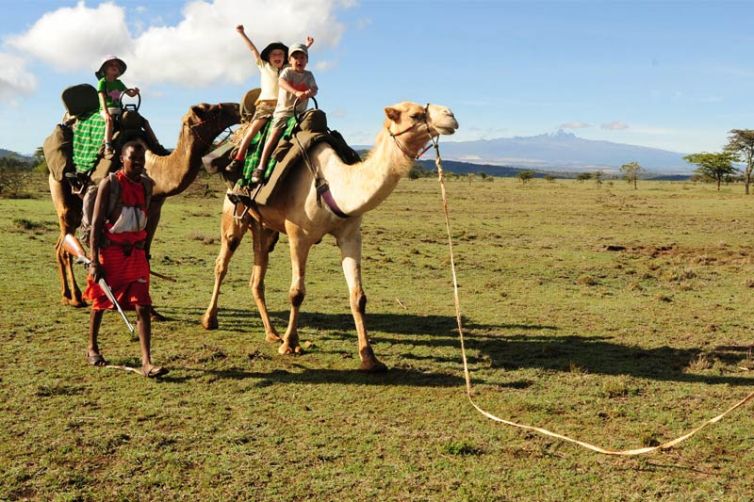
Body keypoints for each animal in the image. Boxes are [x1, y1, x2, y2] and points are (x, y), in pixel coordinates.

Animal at [50, 102, 240, 307]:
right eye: (212, 110)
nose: (237, 108)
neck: (153, 170)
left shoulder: (155, 210)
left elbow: (145, 253)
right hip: (62, 193)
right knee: (65, 247)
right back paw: (76, 297)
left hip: (76, 208)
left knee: (60, 245)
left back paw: (67, 295)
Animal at [201, 101, 459, 371]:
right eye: (415, 115)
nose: (450, 116)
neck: (334, 185)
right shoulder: (298, 235)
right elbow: (297, 293)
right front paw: (291, 345)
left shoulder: (350, 236)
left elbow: (358, 296)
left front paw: (369, 357)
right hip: (233, 212)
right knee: (222, 263)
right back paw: (210, 320)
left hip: (264, 227)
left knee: (257, 276)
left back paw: (272, 333)